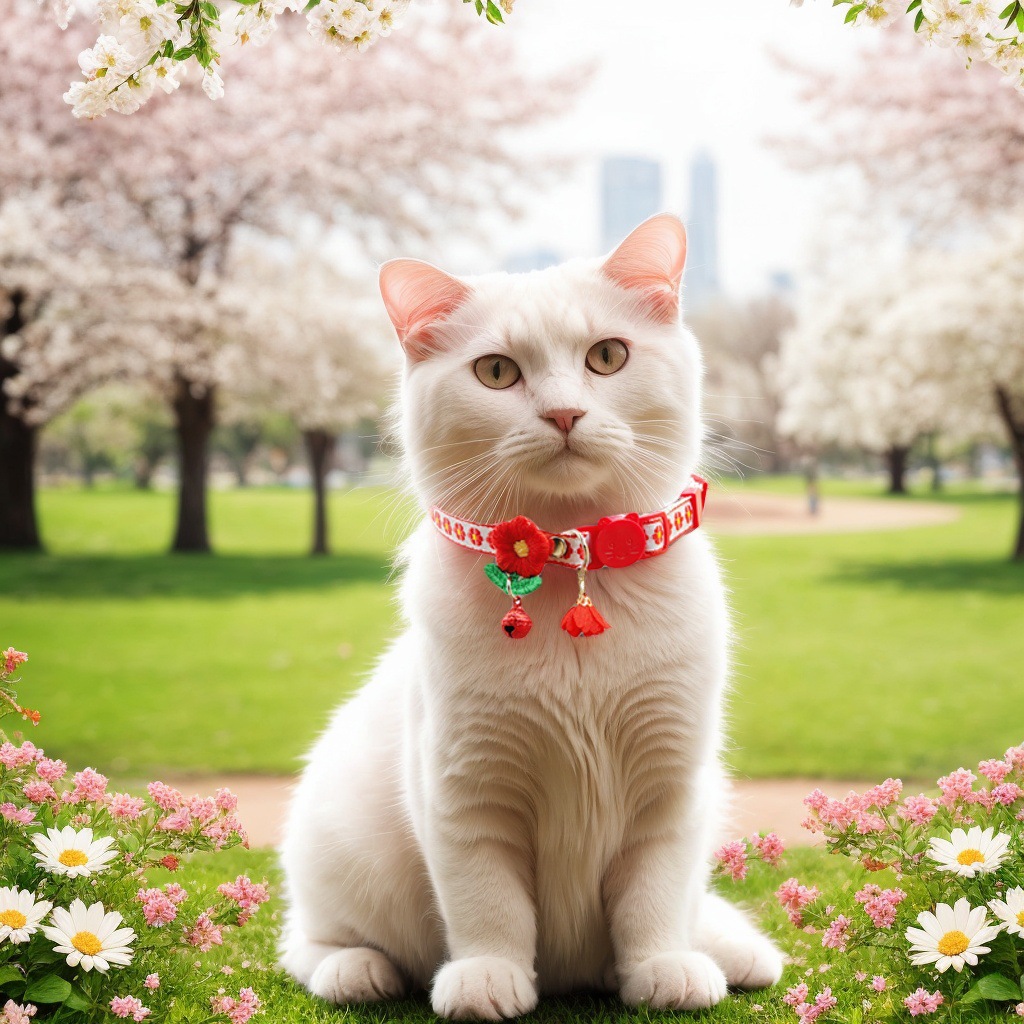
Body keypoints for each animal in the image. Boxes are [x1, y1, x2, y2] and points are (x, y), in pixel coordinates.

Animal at [280, 214, 782, 1015]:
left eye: (608, 356)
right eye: (496, 372)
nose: (563, 413)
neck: (568, 567)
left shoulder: (672, 788)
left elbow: (655, 899)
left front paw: (661, 967)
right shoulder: (465, 793)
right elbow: (489, 905)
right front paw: (488, 977)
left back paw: (727, 953)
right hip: (334, 852)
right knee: (304, 942)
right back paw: (356, 968)